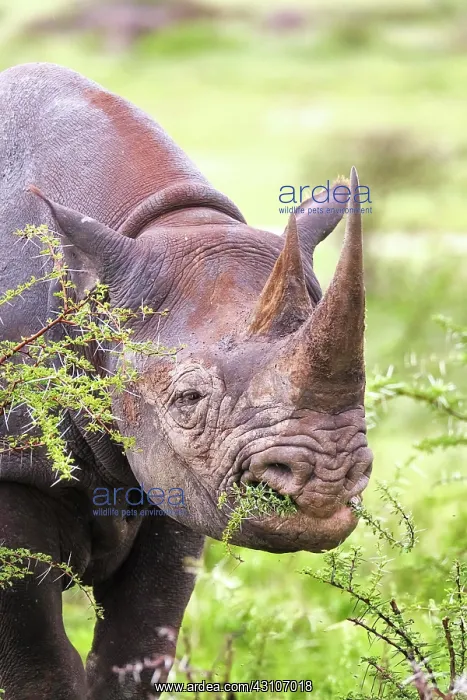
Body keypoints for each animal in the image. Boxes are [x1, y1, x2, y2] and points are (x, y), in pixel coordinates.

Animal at [0, 62, 372, 699]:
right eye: (188, 399)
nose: (326, 482)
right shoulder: (14, 467)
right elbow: (39, 667)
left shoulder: (177, 482)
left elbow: (138, 646)